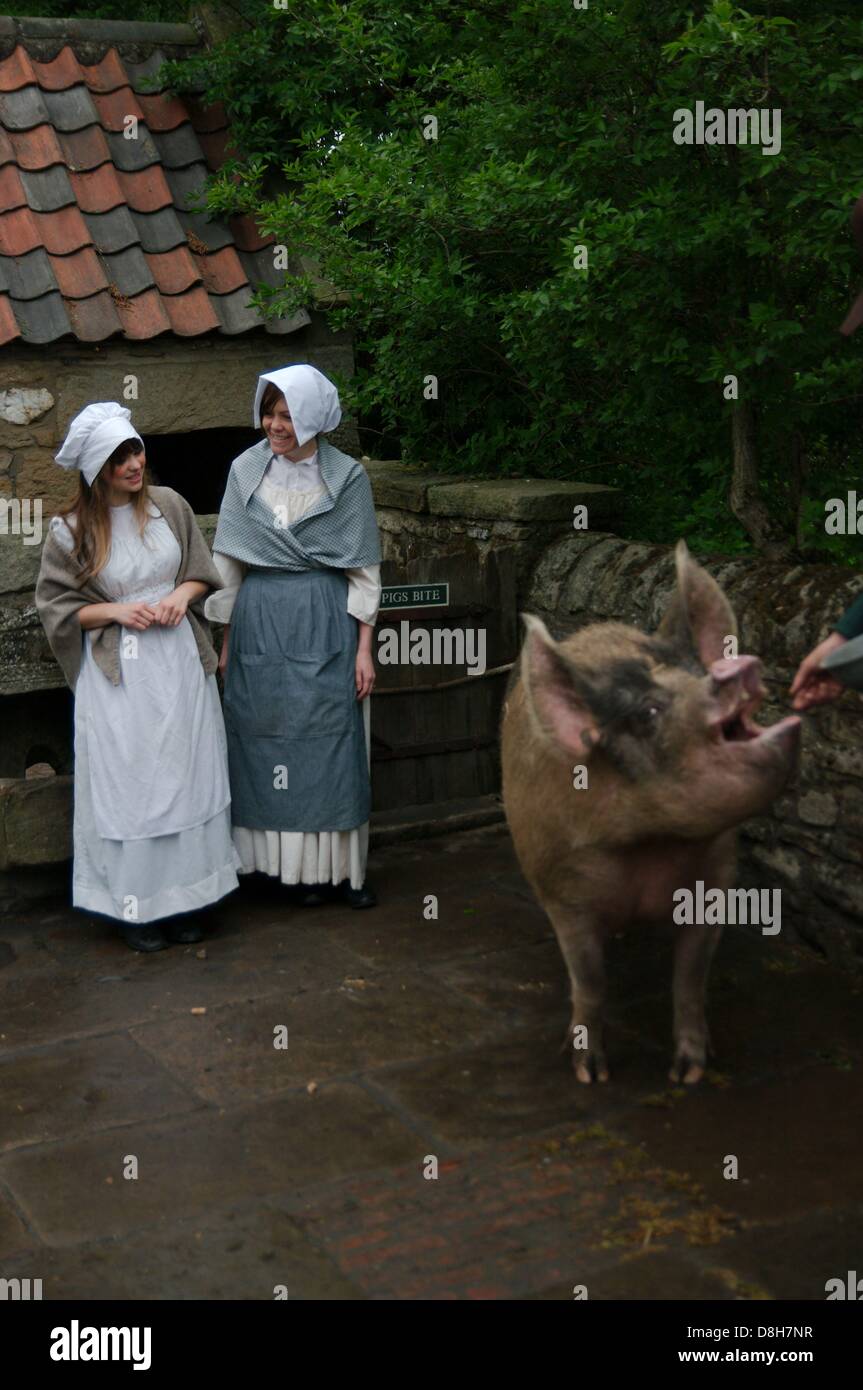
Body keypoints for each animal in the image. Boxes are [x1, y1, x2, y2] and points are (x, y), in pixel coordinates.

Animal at [497, 539, 800, 1084]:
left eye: (699, 673)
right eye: (648, 712)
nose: (731, 670)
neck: (649, 844)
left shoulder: (715, 878)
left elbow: (690, 977)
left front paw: (690, 1074)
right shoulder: (563, 887)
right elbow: (590, 981)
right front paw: (590, 1075)